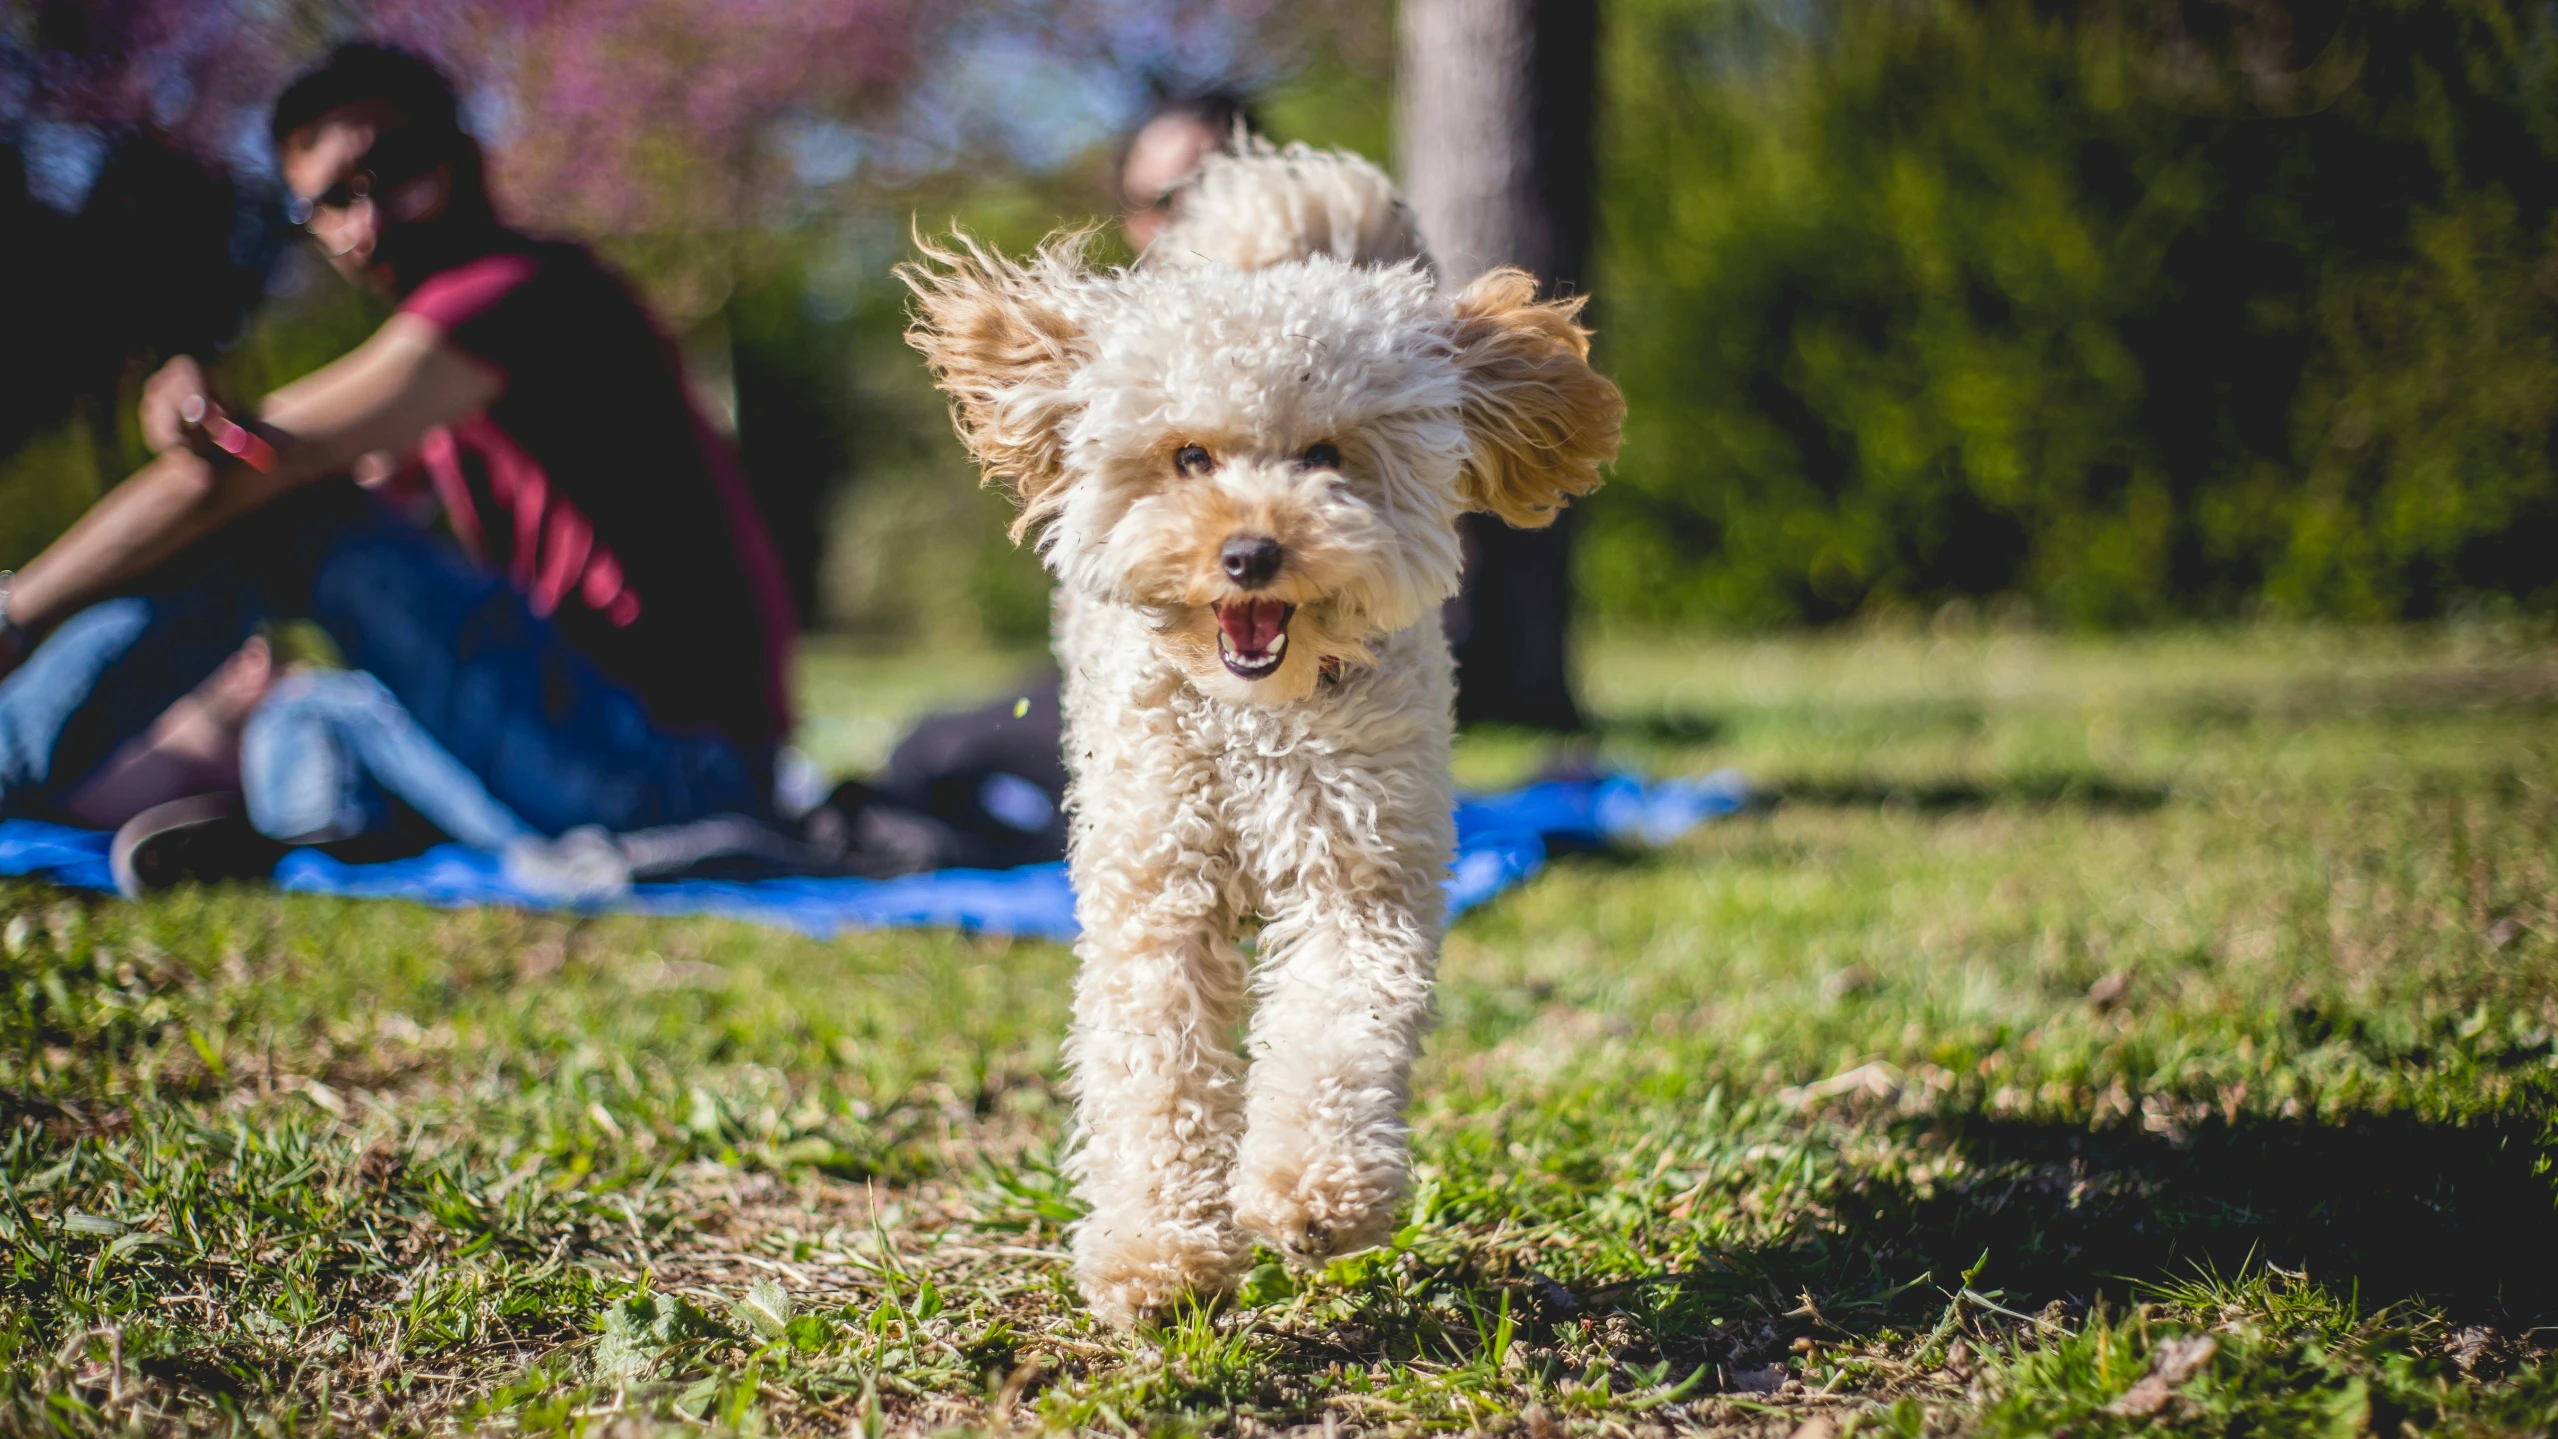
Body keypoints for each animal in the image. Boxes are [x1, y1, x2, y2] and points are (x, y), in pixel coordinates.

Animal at [900, 143, 1616, 1329]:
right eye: (1189, 455)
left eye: (1327, 454)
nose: (1249, 553)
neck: (1254, 727)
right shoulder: (1156, 891)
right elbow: (1155, 1069)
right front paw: (1158, 1252)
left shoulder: (1361, 877)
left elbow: (1337, 1027)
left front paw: (1312, 1192)